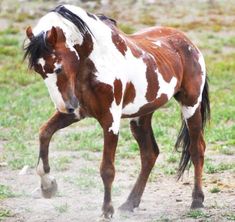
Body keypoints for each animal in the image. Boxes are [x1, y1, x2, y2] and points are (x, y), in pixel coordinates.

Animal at [23, 4, 210, 219]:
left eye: (59, 67)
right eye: (39, 70)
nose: (64, 106)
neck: (94, 62)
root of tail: (189, 44)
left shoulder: (110, 120)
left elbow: (107, 169)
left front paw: (107, 210)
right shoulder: (76, 112)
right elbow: (44, 133)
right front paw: (48, 186)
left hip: (190, 105)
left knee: (196, 149)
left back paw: (197, 200)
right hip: (141, 115)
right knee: (149, 154)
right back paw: (130, 203)